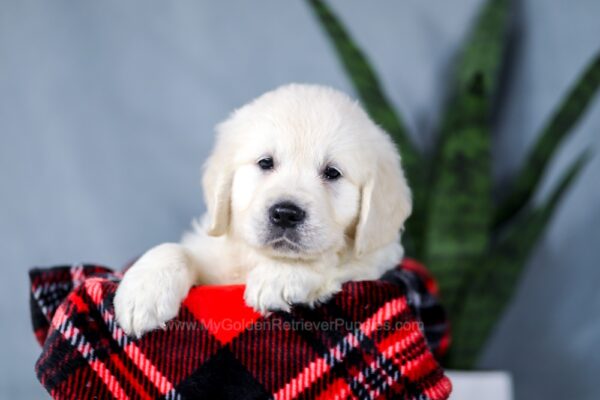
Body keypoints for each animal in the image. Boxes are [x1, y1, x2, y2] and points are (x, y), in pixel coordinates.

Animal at [114, 84, 410, 338]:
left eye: (332, 173)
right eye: (265, 162)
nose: (286, 214)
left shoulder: (379, 255)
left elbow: (331, 258)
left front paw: (279, 275)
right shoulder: (215, 259)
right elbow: (175, 249)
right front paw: (143, 291)